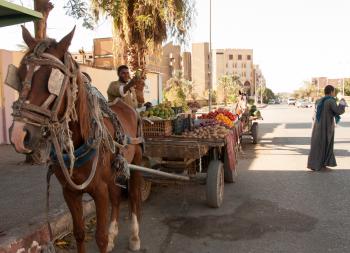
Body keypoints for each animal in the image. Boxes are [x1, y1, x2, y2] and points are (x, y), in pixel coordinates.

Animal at [9, 26, 144, 253]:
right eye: (19, 74)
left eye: (52, 79)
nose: (19, 135)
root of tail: (128, 107)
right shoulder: (70, 192)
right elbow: (79, 232)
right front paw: (106, 236)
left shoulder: (99, 191)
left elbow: (100, 237)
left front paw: (109, 238)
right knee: (117, 196)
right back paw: (115, 233)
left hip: (136, 162)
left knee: (133, 196)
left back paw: (134, 238)